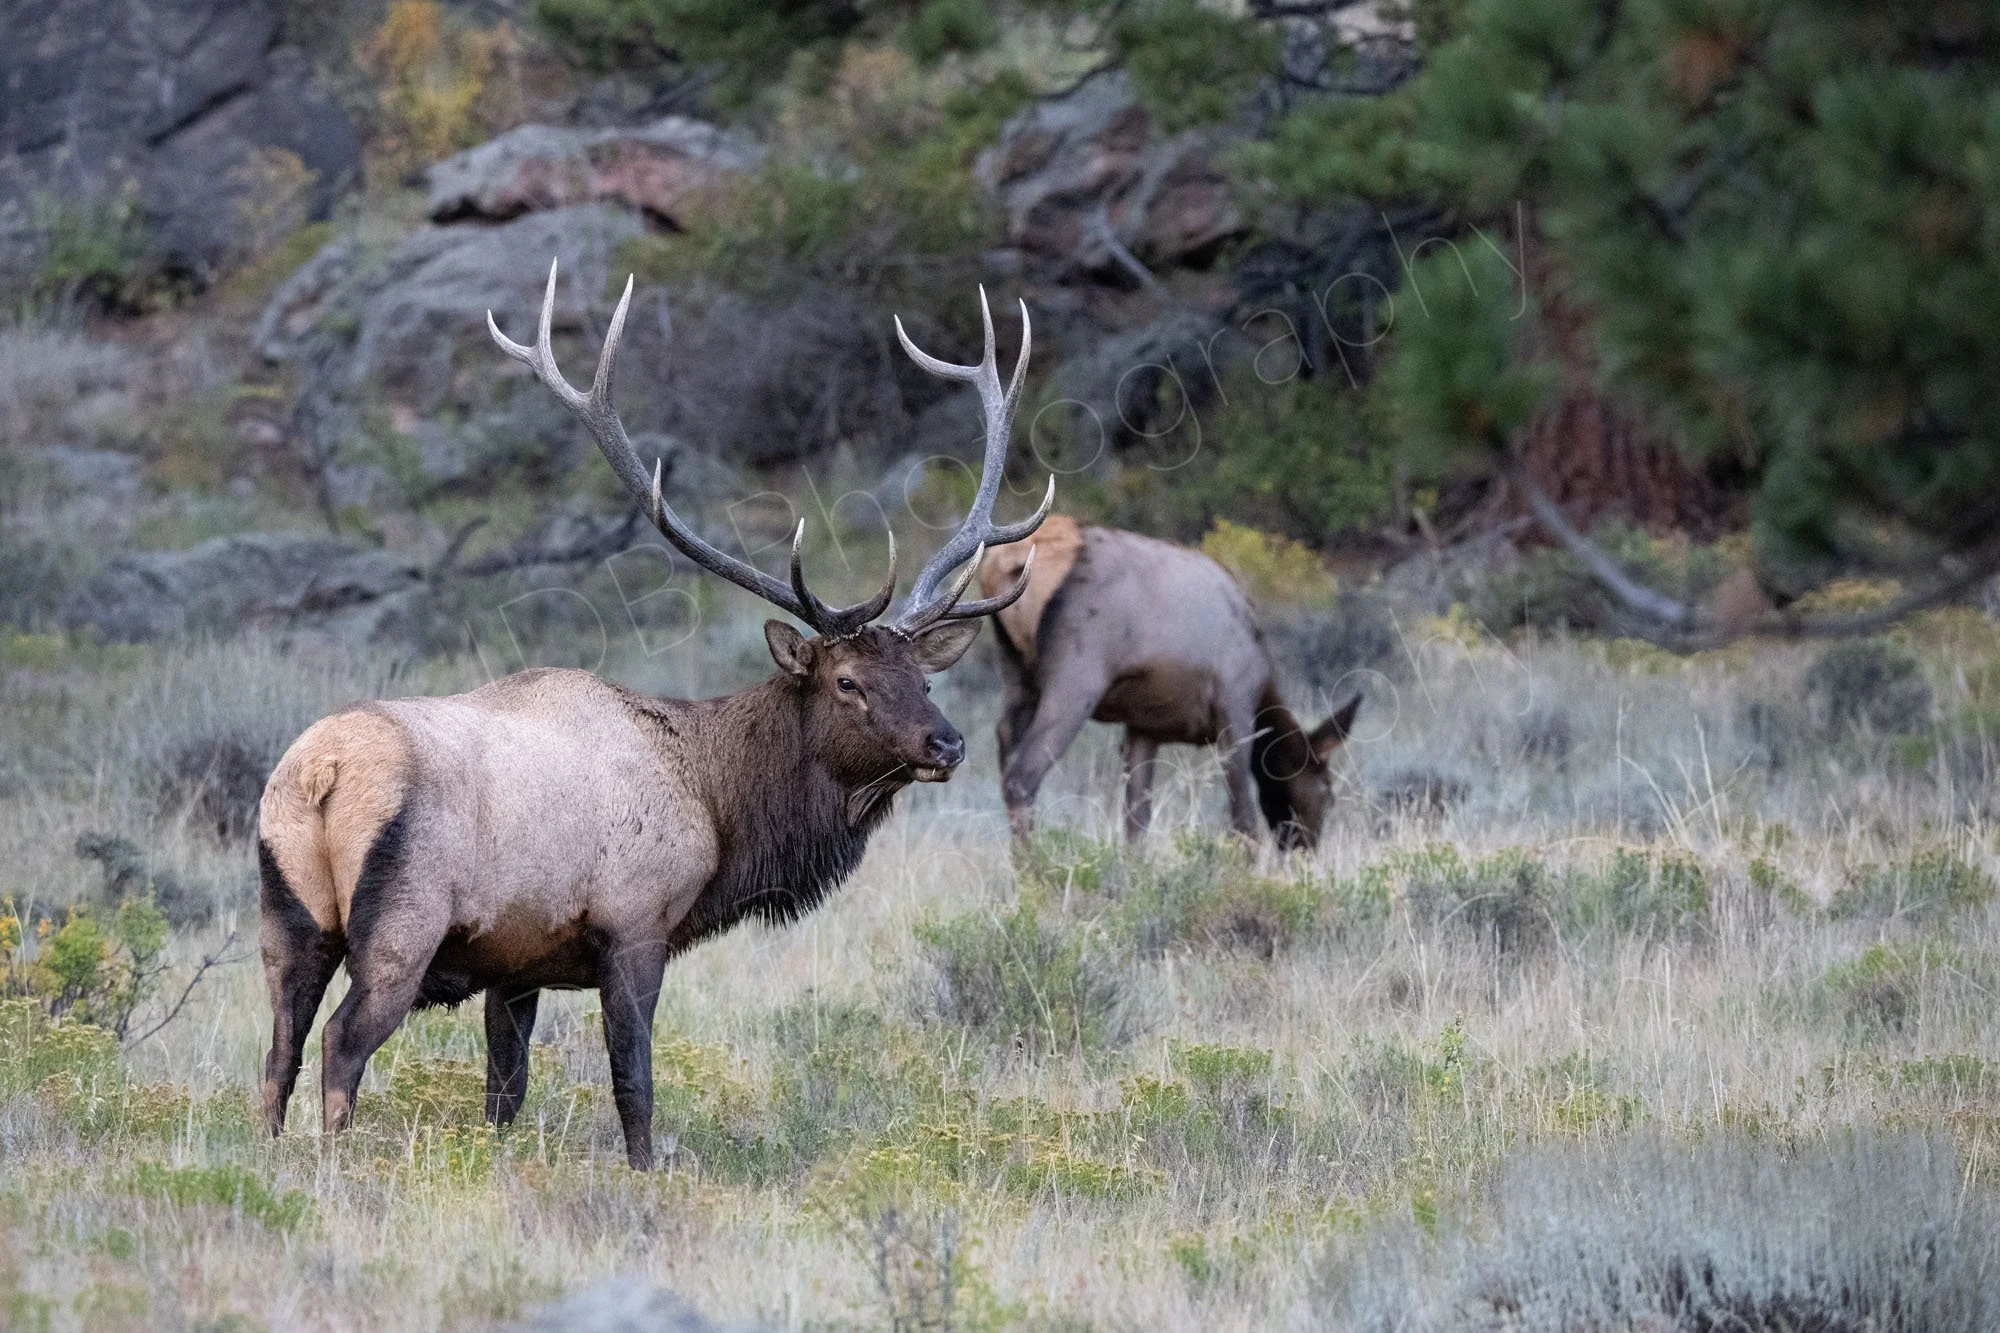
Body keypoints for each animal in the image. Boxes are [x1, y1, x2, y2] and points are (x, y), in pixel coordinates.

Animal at [256, 262, 1051, 1169]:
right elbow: (633, 1079)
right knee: (341, 1041)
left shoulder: (515, 963)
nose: (946, 743)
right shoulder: (636, 924)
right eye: (847, 680)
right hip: (403, 920)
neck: (718, 803)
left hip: (287, 917)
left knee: (278, 1051)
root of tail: (321, 772)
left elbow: (505, 1092)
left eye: (924, 674)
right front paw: (644, 1172)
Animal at [977, 517, 1359, 849]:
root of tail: (1005, 564)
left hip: (1017, 675)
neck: (1264, 684)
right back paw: (1034, 869)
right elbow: (1243, 820)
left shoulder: (1143, 727)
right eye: (1327, 794)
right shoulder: (1235, 706)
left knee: (1005, 746)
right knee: (1022, 777)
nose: (1305, 849)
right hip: (1076, 676)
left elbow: (1136, 824)